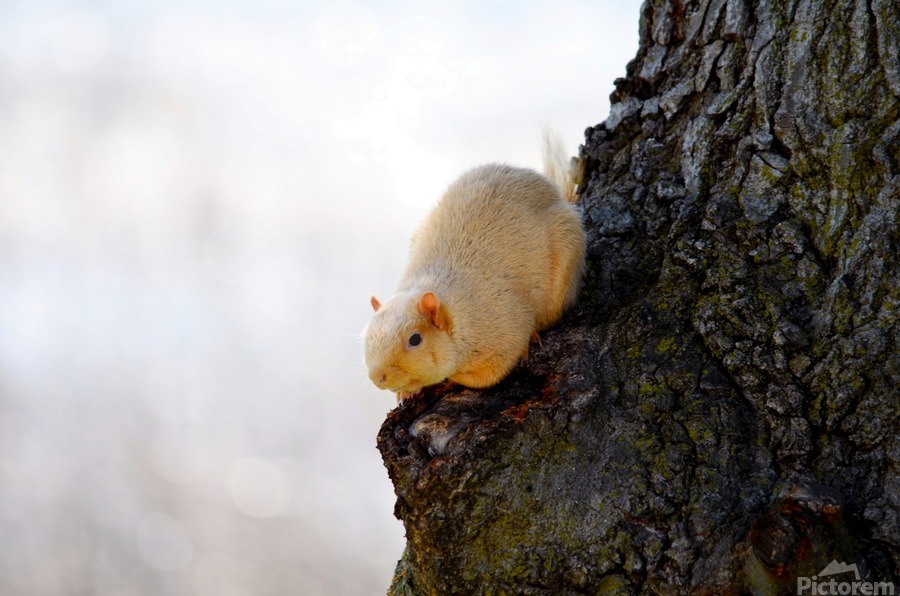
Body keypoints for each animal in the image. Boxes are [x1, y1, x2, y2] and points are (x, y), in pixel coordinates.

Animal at [364, 133, 586, 402]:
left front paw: (452, 378)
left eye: (415, 340)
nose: (377, 377)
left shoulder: (503, 329)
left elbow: (489, 375)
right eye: (368, 335)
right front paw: (405, 392)